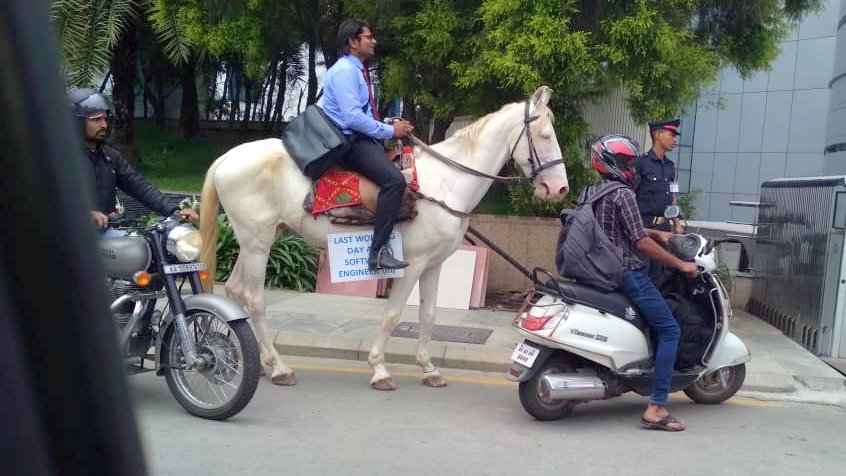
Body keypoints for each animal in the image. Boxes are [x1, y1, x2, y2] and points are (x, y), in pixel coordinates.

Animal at [197, 85, 568, 390]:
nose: (560, 189)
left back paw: (251, 360)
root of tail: (229, 156)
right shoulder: (412, 264)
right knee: (254, 299)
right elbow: (392, 315)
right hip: (257, 243)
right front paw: (379, 369)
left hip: (257, 239)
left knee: (235, 291)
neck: (445, 183)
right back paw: (278, 367)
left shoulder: (434, 265)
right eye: (545, 135)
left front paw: (429, 369)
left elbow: (428, 316)